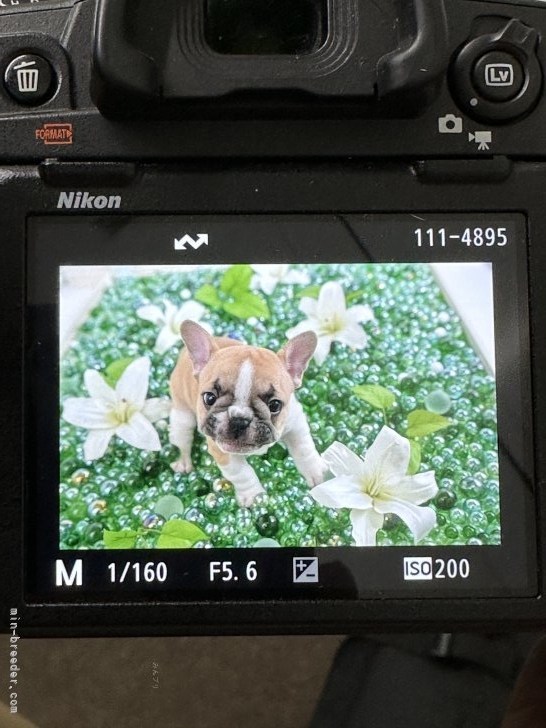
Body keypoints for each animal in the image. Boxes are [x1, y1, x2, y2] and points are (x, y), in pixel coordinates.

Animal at [169, 320, 326, 506]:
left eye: (275, 405)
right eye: (209, 398)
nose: (239, 420)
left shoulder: (295, 423)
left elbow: (304, 448)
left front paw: (317, 473)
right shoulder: (221, 450)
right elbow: (242, 473)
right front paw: (254, 496)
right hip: (182, 416)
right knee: (183, 443)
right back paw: (183, 463)